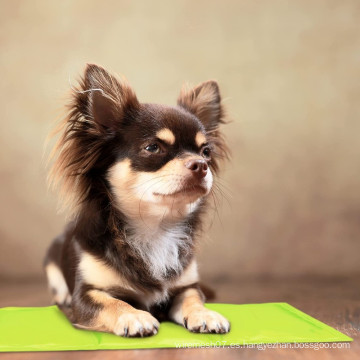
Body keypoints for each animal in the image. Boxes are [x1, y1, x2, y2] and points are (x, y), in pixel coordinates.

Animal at [44, 63, 231, 336]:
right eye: (153, 148)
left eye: (206, 152)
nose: (201, 165)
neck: (154, 228)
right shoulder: (86, 294)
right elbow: (113, 302)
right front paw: (134, 316)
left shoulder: (185, 286)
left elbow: (193, 298)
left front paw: (205, 314)